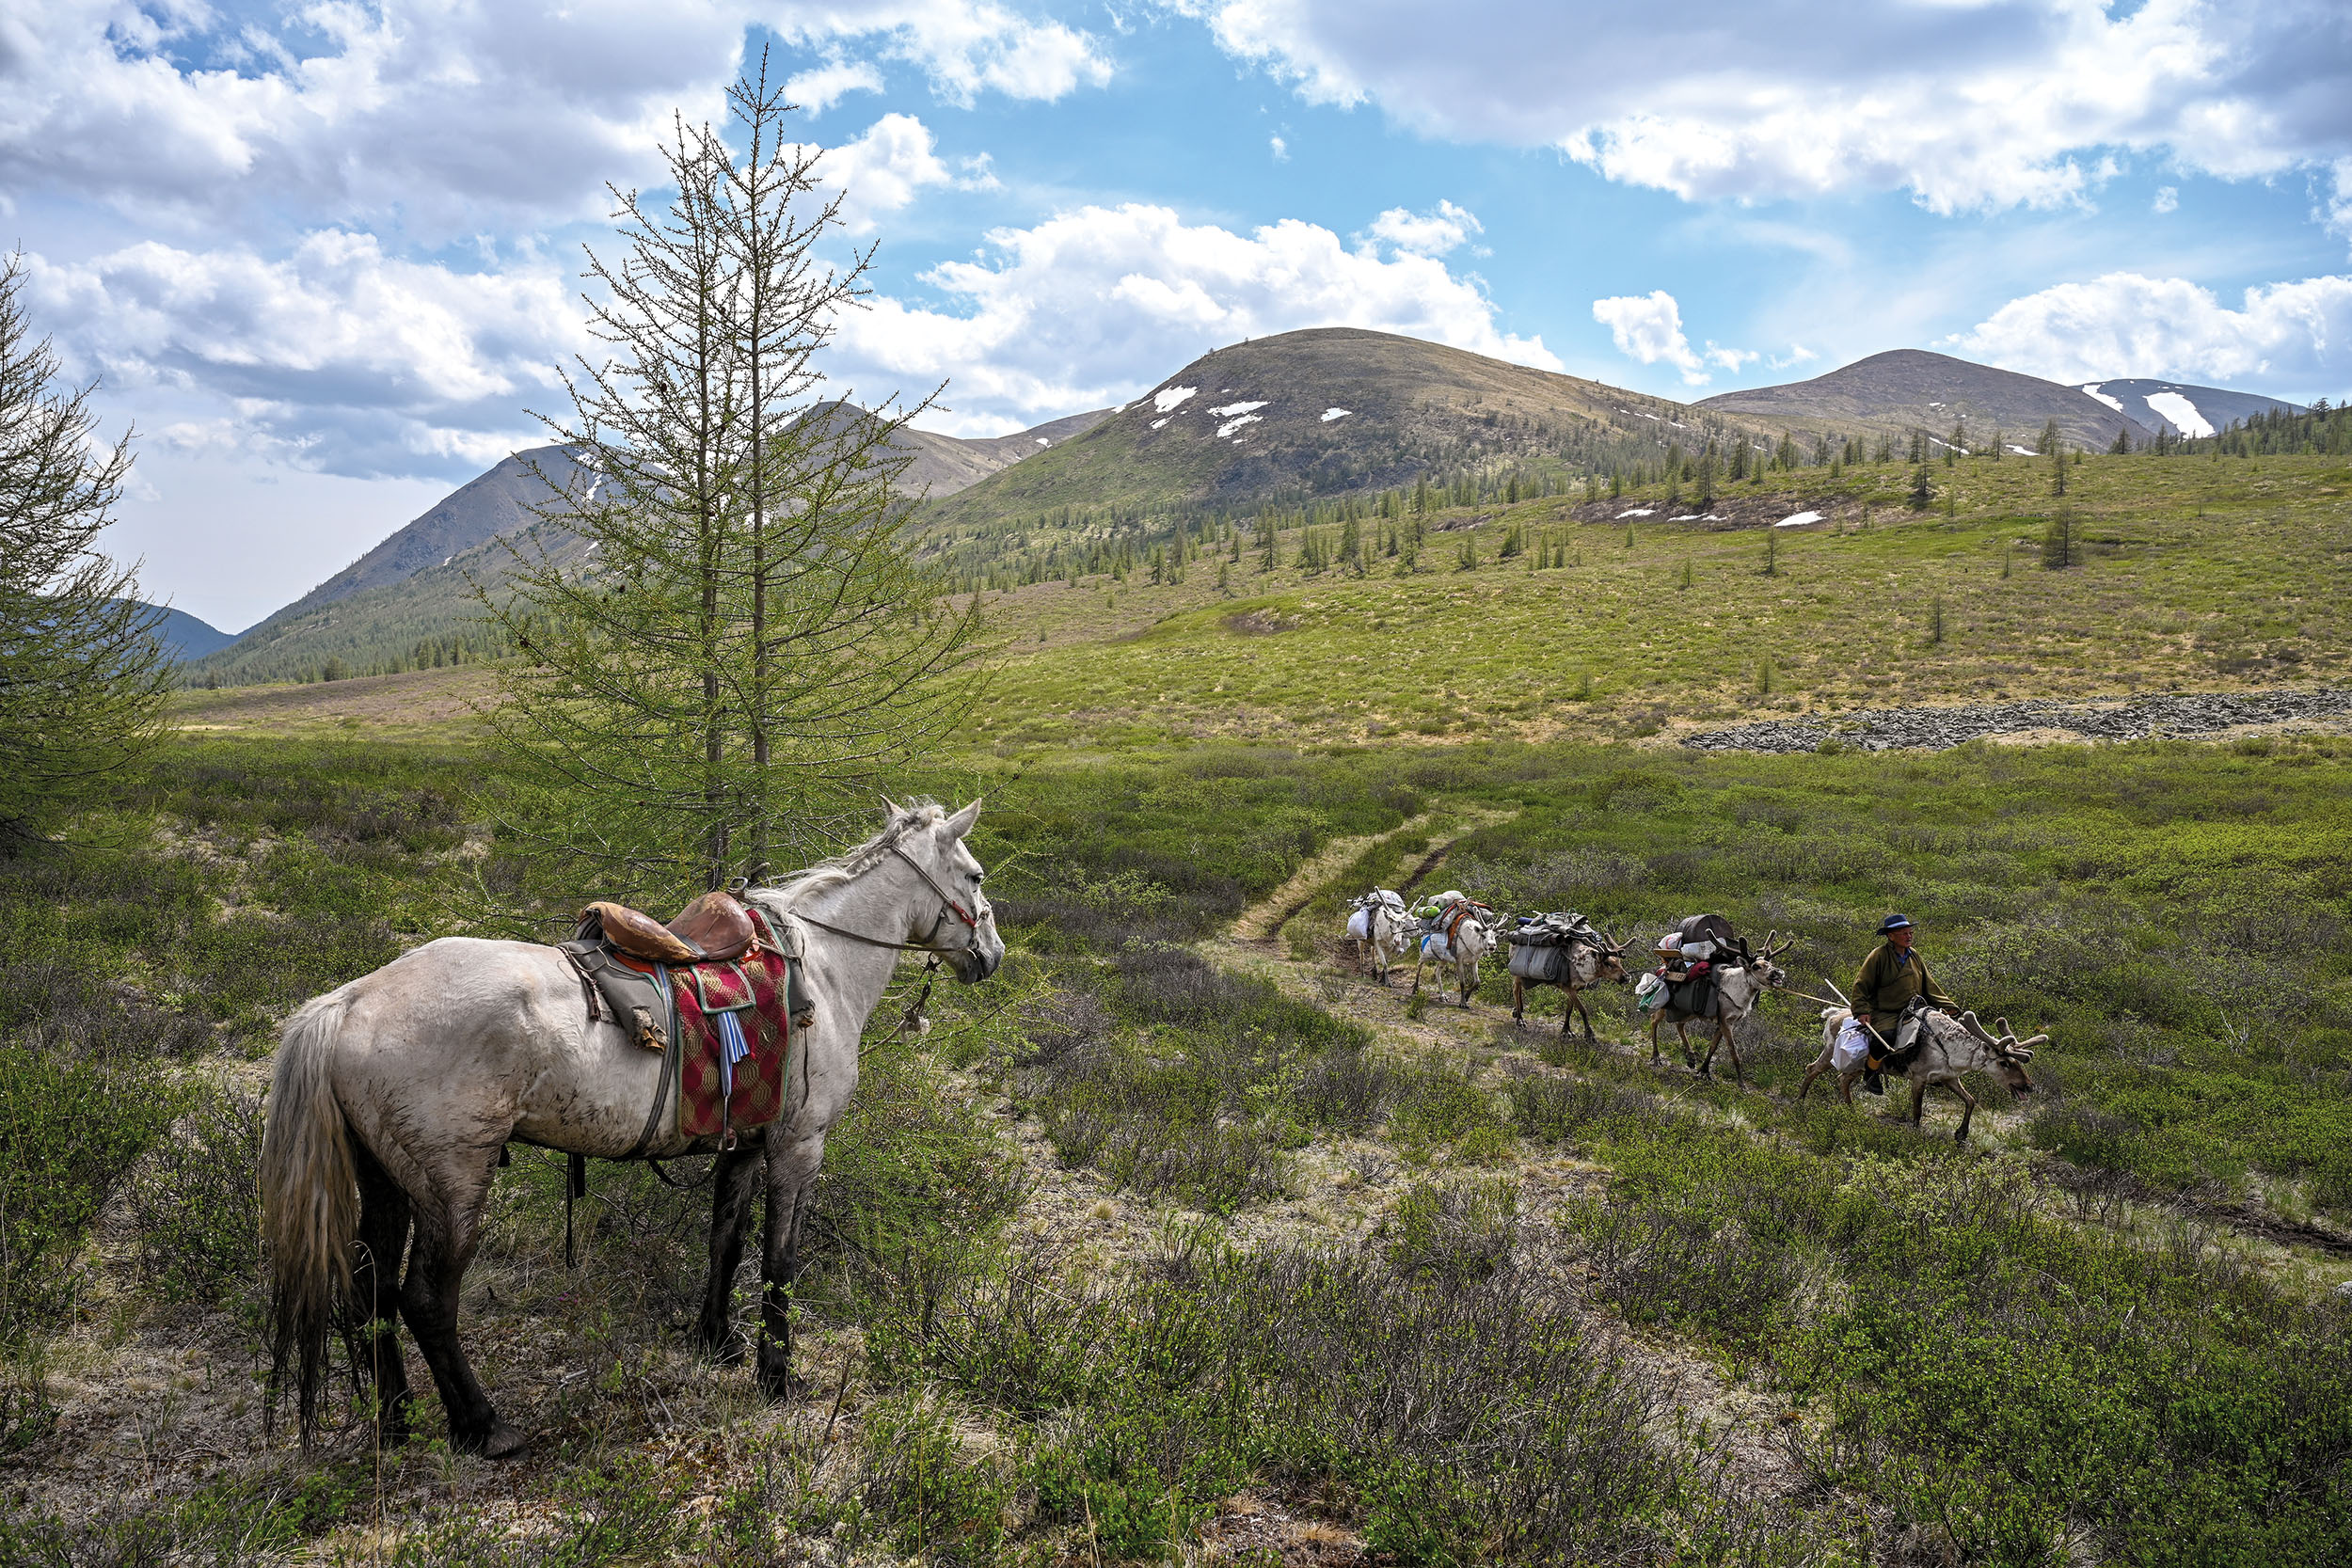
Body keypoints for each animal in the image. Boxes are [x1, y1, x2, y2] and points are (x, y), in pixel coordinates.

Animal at [262, 808, 997, 1457]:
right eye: (976, 875)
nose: (991, 954)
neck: (822, 965)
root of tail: (349, 1001)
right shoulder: (798, 1146)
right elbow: (779, 1263)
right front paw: (776, 1376)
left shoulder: (743, 1144)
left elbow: (725, 1242)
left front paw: (717, 1341)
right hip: (451, 1187)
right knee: (424, 1299)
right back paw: (482, 1426)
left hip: (386, 1181)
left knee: (372, 1290)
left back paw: (396, 1417)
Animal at [1797, 1006, 2042, 1142]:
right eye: (2004, 1062)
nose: (2029, 1086)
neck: (1950, 1050)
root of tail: (1833, 1014)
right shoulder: (1919, 1077)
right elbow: (1917, 1111)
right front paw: (1914, 1135)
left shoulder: (1949, 1077)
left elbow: (1971, 1100)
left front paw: (1961, 1133)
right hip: (1835, 1054)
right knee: (1815, 1070)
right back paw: (1803, 1101)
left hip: (1853, 1066)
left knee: (1836, 1077)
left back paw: (1845, 1111)